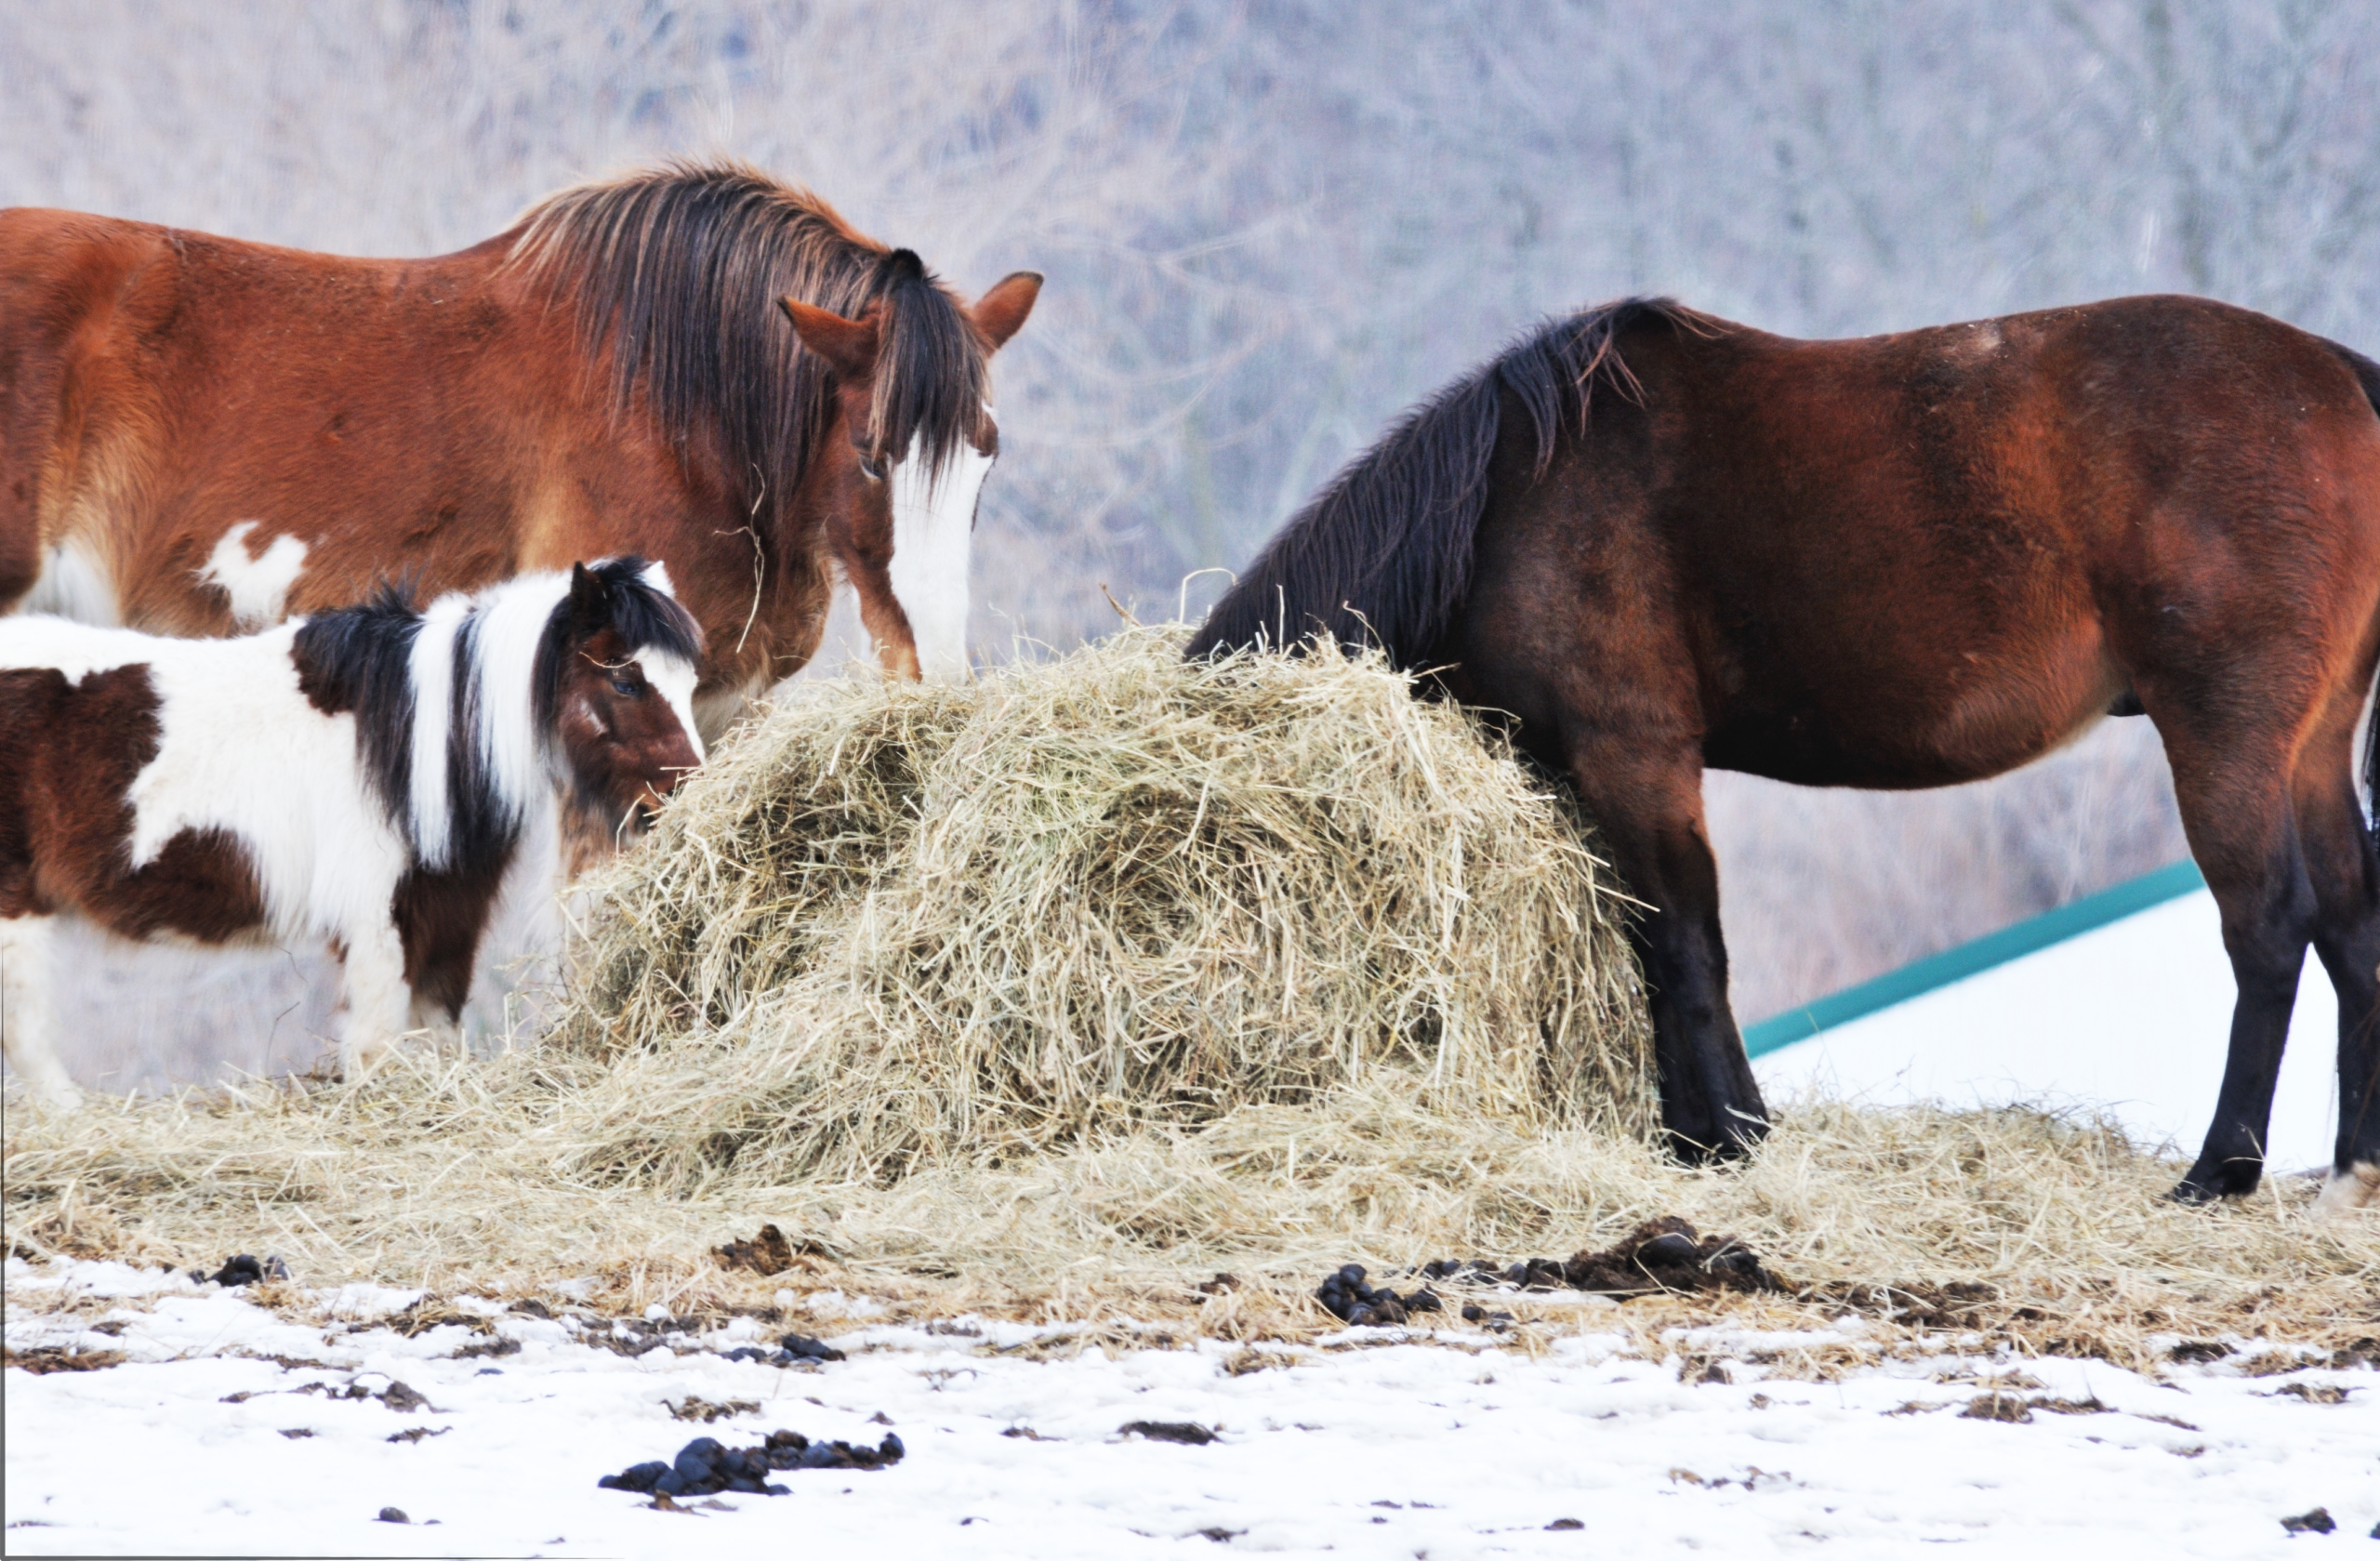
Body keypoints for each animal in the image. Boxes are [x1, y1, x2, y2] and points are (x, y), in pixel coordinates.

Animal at [0, 557, 704, 1108]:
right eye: (625, 679)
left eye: (690, 681)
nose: (683, 795)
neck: (420, 736)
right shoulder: (377, 923)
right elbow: (375, 1047)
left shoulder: (450, 916)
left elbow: (438, 1033)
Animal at [1189, 294, 2380, 1212]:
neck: (1510, 506)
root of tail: (2338, 375)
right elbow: (1653, 948)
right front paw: (1695, 1135)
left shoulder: (1636, 756)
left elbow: (1686, 949)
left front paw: (1729, 1136)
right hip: (2313, 746)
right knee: (2349, 921)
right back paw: (2353, 1164)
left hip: (2225, 736)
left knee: (2268, 928)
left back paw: (2219, 1171)